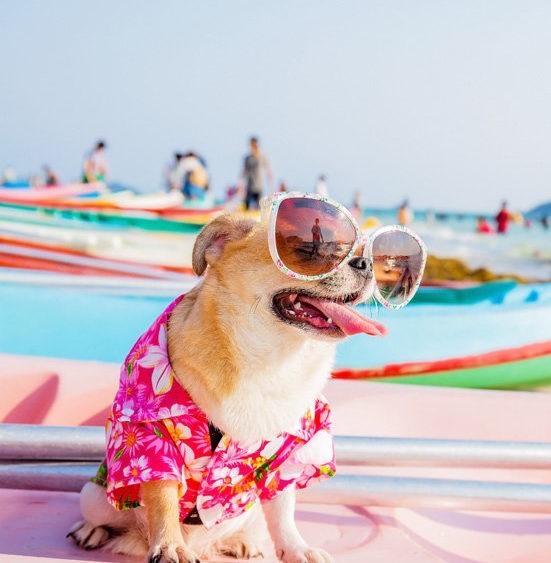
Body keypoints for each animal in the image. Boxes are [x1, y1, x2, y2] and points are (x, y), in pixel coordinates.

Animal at [68, 205, 388, 560]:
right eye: (310, 250)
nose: (366, 263)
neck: (270, 360)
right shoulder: (152, 440)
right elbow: (162, 499)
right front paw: (169, 545)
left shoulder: (287, 460)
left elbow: (283, 512)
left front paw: (296, 549)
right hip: (95, 497)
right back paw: (92, 530)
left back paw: (240, 541)